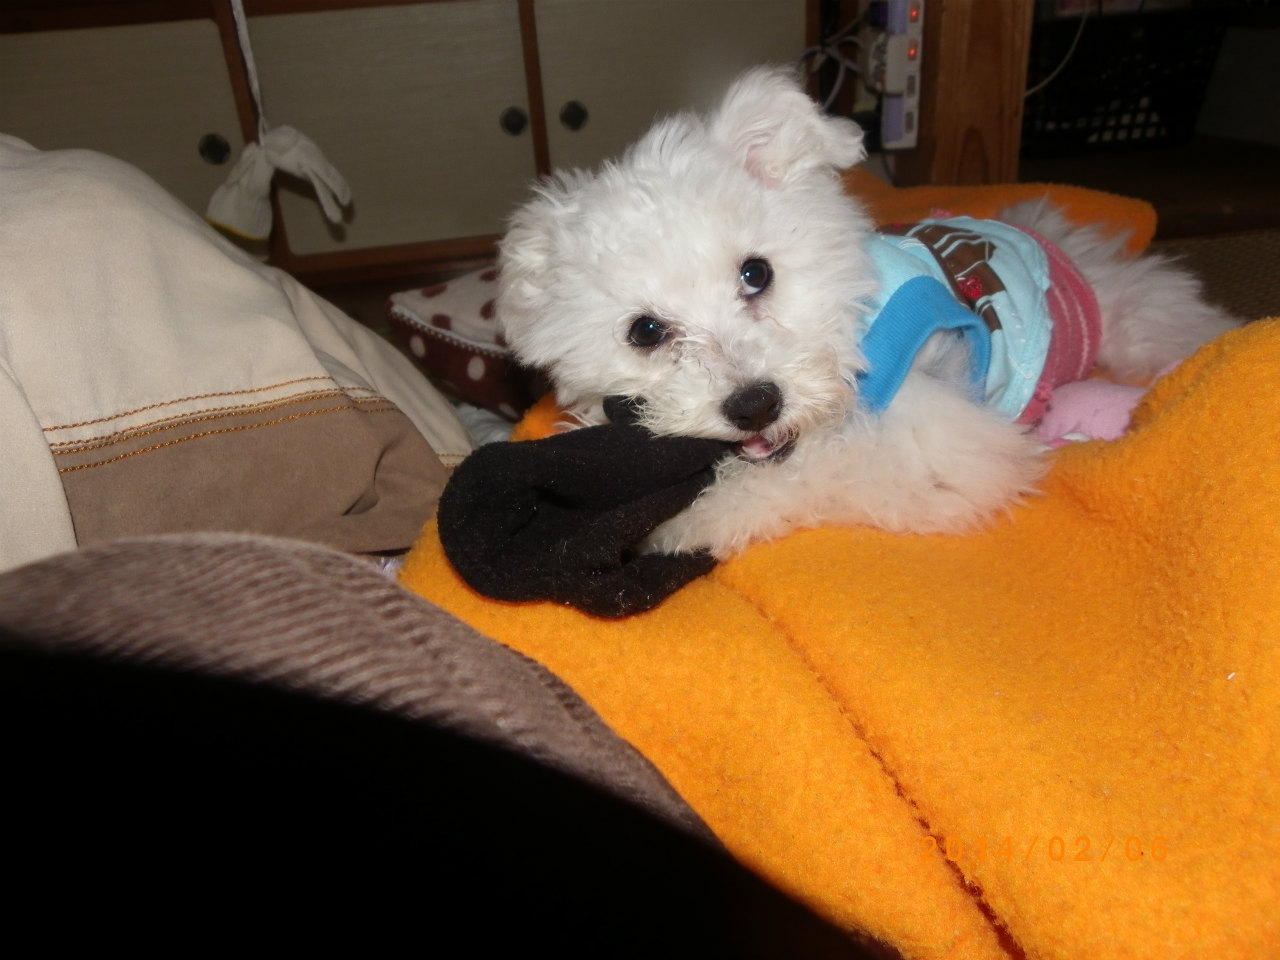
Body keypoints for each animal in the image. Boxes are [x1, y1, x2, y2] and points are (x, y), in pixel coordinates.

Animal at [495, 66, 1237, 558]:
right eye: (645, 331)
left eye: (756, 273)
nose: (755, 404)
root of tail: (1046, 236)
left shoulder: (944, 450)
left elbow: (816, 472)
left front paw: (689, 518)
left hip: (1135, 317)